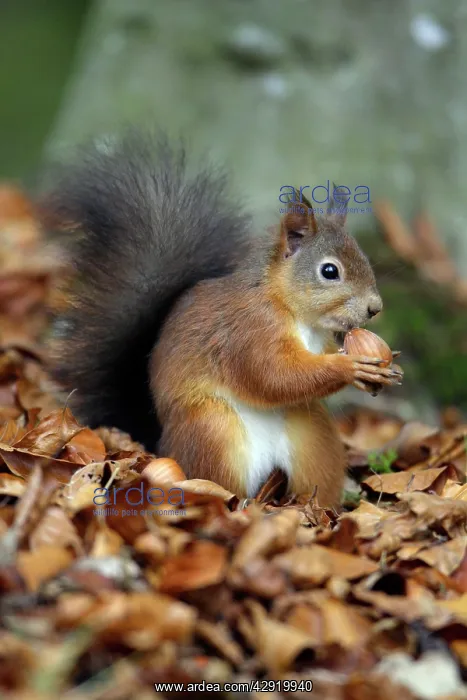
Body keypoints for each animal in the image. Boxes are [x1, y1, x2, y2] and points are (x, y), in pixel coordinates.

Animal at [42, 131, 403, 508]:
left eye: (364, 258)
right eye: (329, 271)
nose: (375, 308)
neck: (296, 314)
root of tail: (161, 443)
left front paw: (384, 369)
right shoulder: (248, 331)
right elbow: (274, 375)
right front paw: (350, 367)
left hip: (311, 432)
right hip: (213, 430)